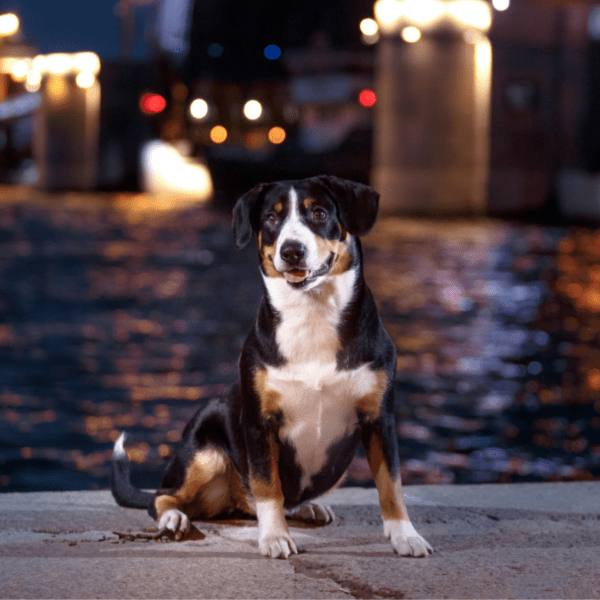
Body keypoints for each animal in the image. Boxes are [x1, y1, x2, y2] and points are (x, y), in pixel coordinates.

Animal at [111, 176, 432, 560]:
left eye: (319, 213)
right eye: (271, 219)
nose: (292, 250)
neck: (312, 314)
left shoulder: (379, 418)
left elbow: (391, 483)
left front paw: (405, 535)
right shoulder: (259, 421)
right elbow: (267, 486)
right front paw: (275, 537)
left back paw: (309, 507)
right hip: (204, 448)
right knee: (163, 497)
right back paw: (174, 518)